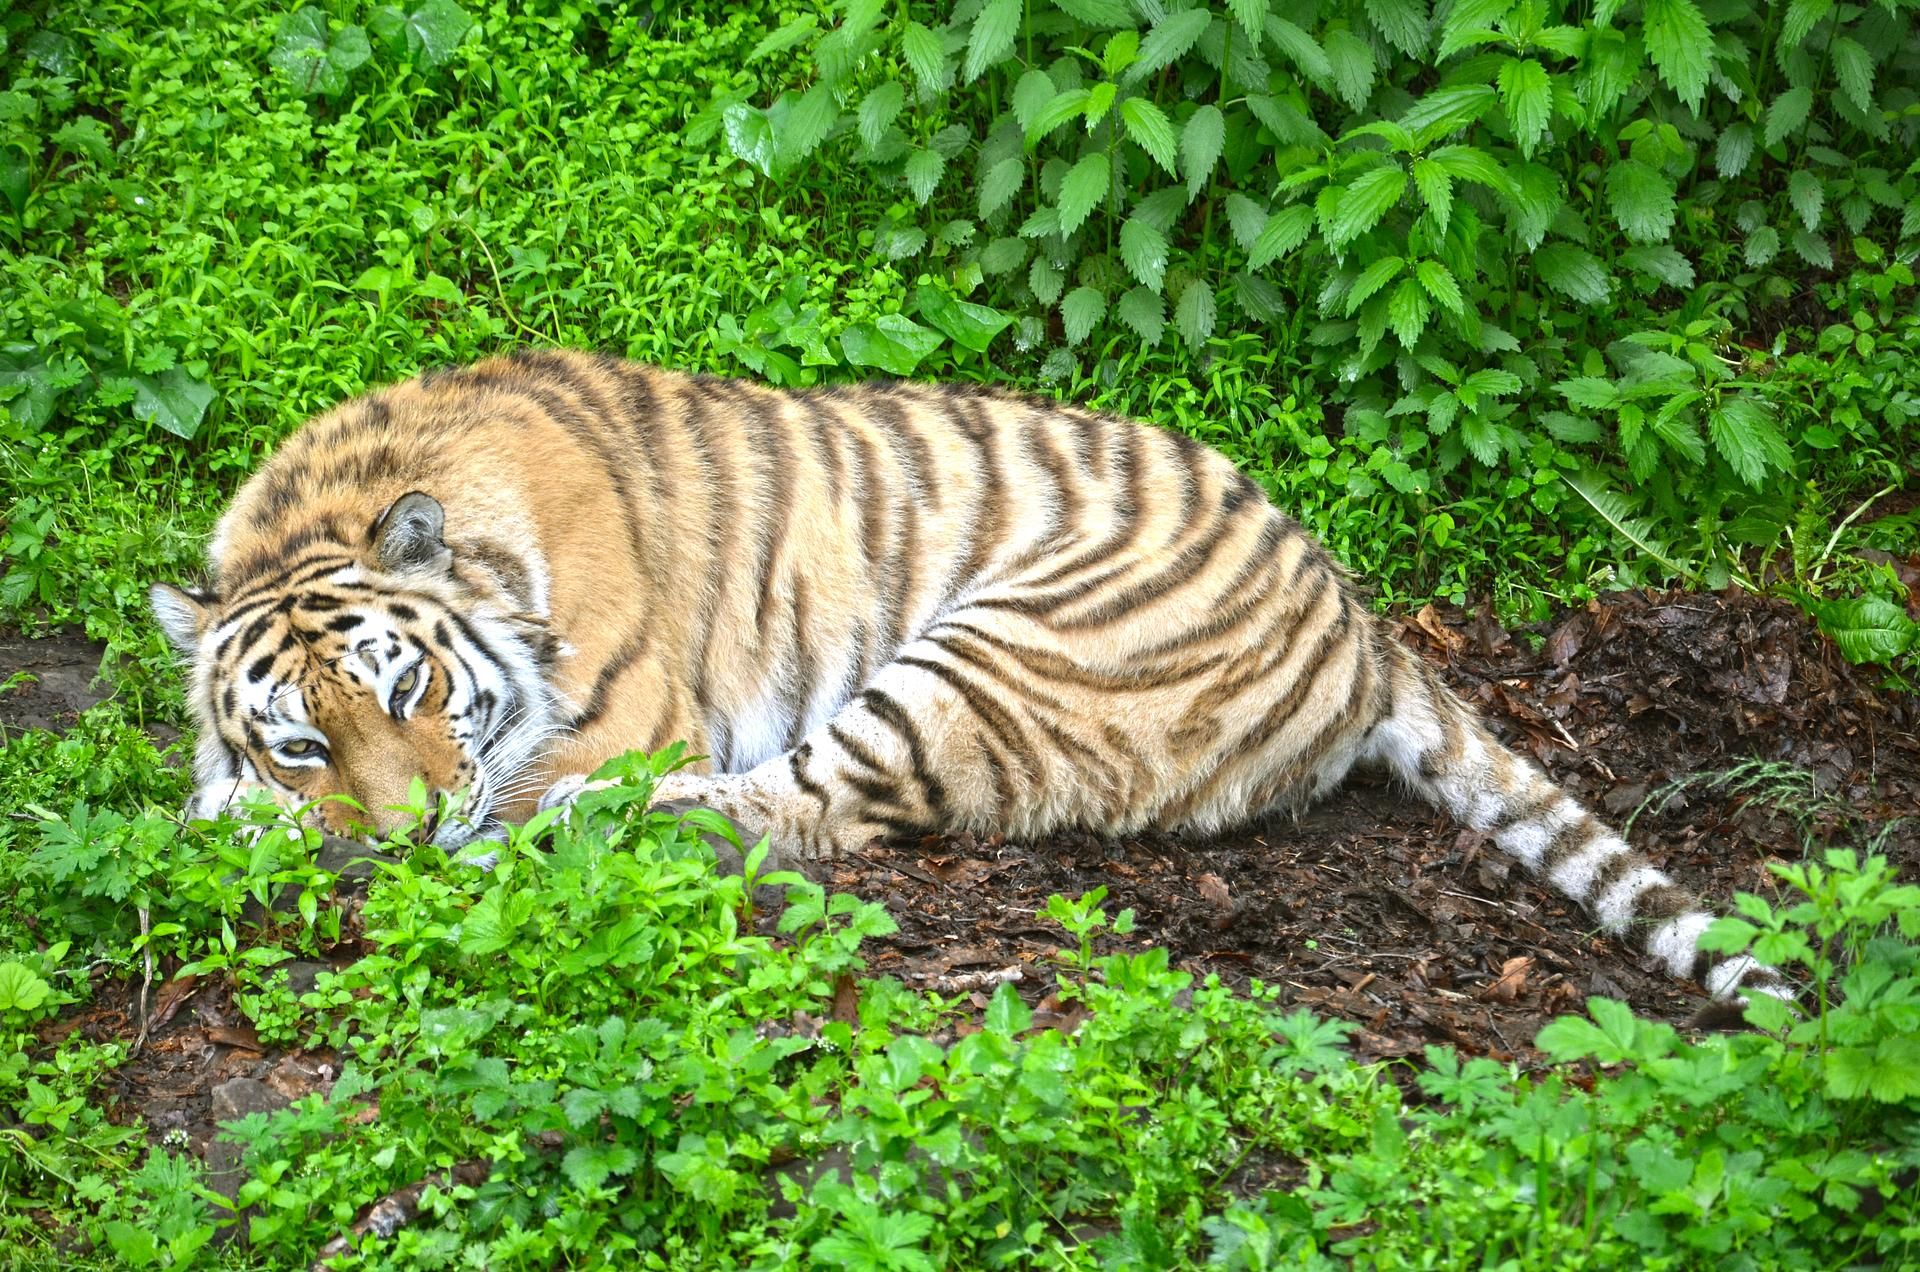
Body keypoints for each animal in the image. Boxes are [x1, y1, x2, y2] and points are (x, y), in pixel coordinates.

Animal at [149, 351, 1781, 1006]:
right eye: (302, 743)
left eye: (410, 693)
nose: (404, 838)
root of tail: (1368, 622)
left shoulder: (614, 724)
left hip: (993, 660)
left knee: (782, 815)